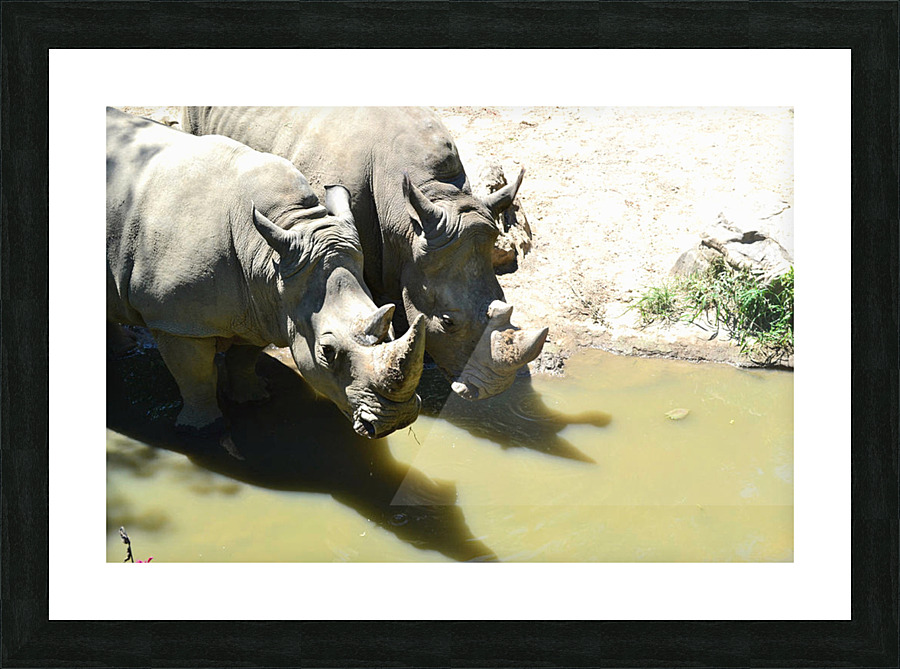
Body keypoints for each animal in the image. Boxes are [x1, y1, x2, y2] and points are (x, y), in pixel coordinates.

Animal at [106, 107, 425, 438]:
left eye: (391, 330)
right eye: (327, 351)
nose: (396, 420)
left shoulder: (262, 304)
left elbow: (244, 357)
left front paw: (253, 399)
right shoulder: (175, 320)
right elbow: (196, 377)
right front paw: (204, 431)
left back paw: (124, 349)